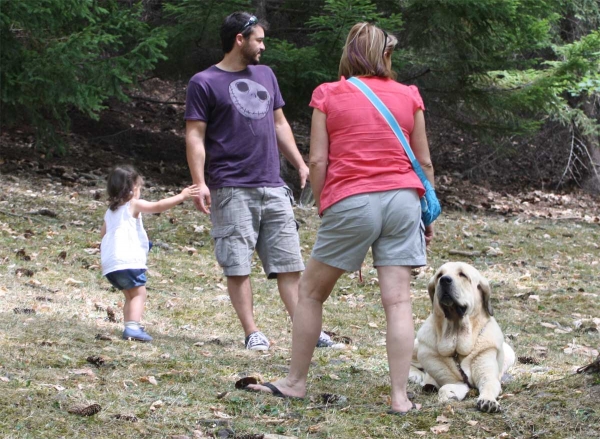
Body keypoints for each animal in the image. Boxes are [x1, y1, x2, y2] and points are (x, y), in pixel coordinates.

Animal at [410, 262, 512, 414]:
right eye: (439, 275)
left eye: (463, 275)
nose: (444, 280)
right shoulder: (454, 381)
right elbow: (445, 387)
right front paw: (447, 395)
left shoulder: (487, 376)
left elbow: (489, 385)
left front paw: (488, 401)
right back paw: (416, 374)